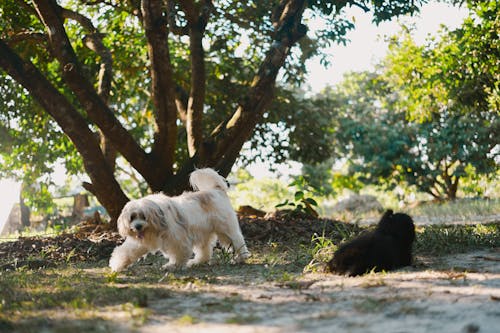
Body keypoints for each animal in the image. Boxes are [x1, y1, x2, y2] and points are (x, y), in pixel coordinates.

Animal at [109, 167, 250, 272]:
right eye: (132, 217)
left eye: (144, 217)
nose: (138, 226)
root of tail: (216, 190)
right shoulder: (140, 241)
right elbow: (127, 251)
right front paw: (118, 264)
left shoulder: (177, 239)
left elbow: (178, 253)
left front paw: (173, 265)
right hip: (204, 232)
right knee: (204, 250)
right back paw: (198, 262)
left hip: (226, 228)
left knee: (238, 240)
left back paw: (241, 258)